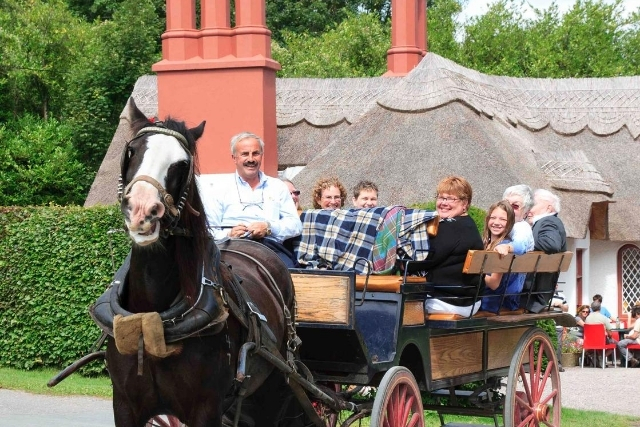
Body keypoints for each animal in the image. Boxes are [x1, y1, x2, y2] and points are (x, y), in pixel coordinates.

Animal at [92, 98, 300, 427]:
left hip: (274, 382)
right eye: (131, 151)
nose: (142, 209)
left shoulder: (205, 408)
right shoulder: (124, 405)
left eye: (182, 164)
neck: (155, 316)